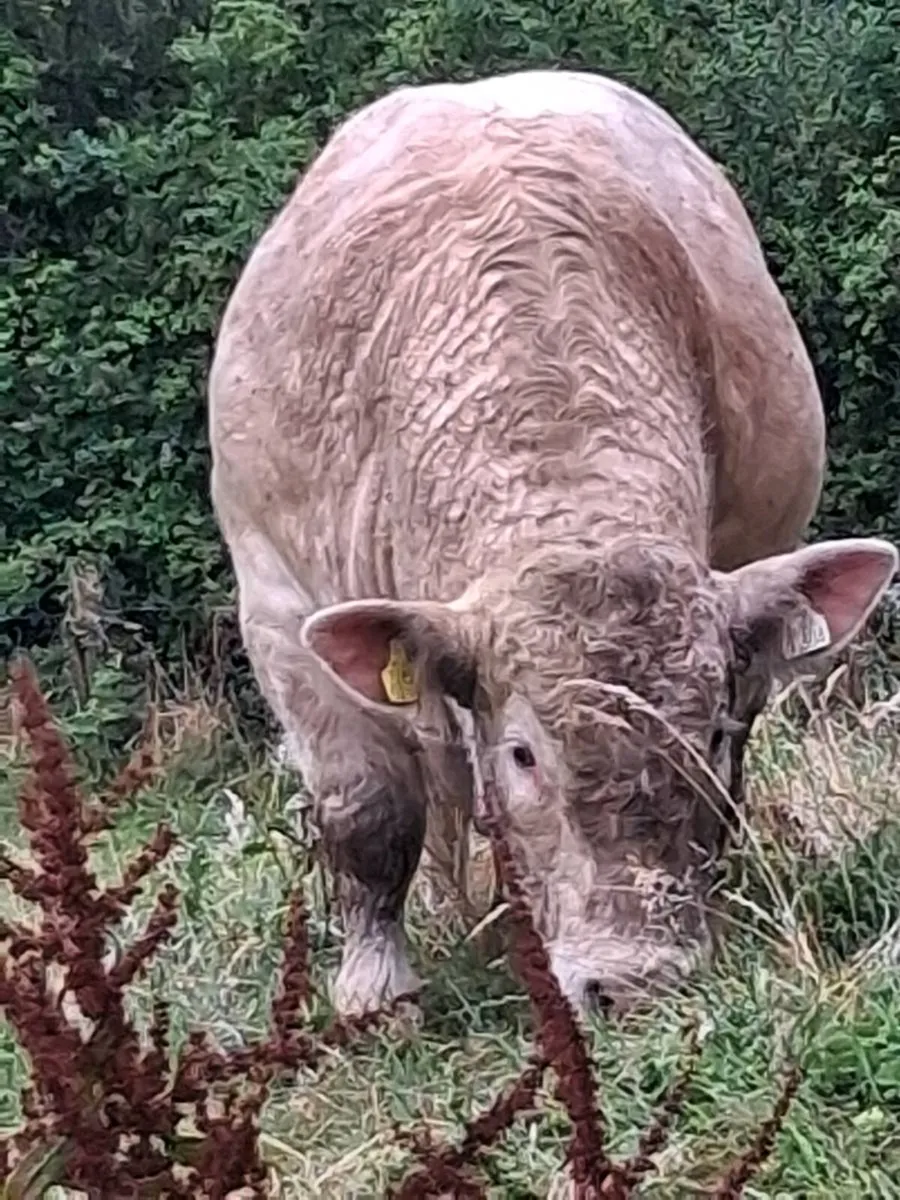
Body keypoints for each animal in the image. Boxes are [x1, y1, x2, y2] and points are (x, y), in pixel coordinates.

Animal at [208, 69, 897, 1018]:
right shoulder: (279, 604)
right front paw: (377, 989)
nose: (635, 982)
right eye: (524, 753)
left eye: (711, 734)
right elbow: (367, 812)